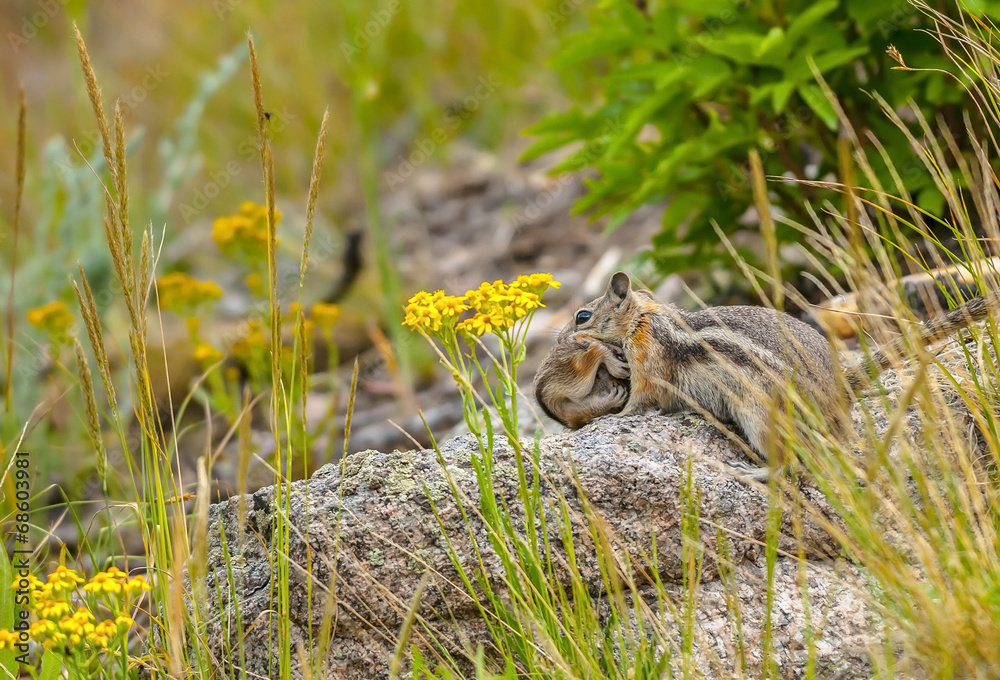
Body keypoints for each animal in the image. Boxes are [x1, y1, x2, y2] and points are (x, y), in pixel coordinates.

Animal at [537, 271, 999, 479]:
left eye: (581, 316)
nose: (563, 339)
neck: (644, 317)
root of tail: (838, 391)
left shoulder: (651, 362)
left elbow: (642, 399)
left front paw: (617, 415)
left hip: (761, 416)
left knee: (787, 465)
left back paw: (752, 472)